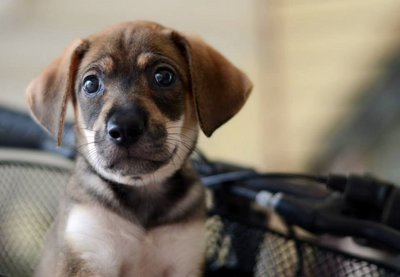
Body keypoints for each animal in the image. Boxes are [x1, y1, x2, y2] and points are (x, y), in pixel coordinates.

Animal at [26, 21, 252, 276]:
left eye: (164, 76)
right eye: (91, 84)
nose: (125, 128)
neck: (143, 191)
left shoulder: (185, 257)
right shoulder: (88, 254)